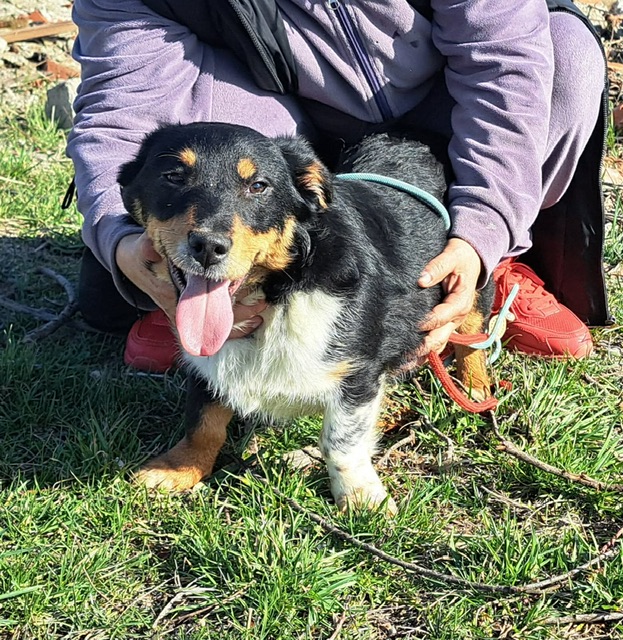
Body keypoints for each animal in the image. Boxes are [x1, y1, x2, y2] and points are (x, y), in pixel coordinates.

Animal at [118, 122, 493, 514]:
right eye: (173, 176)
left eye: (258, 186)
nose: (208, 246)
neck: (278, 295)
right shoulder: (204, 361)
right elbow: (203, 421)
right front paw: (180, 468)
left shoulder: (358, 371)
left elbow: (341, 442)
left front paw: (360, 498)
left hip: (469, 282)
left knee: (473, 334)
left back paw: (474, 387)